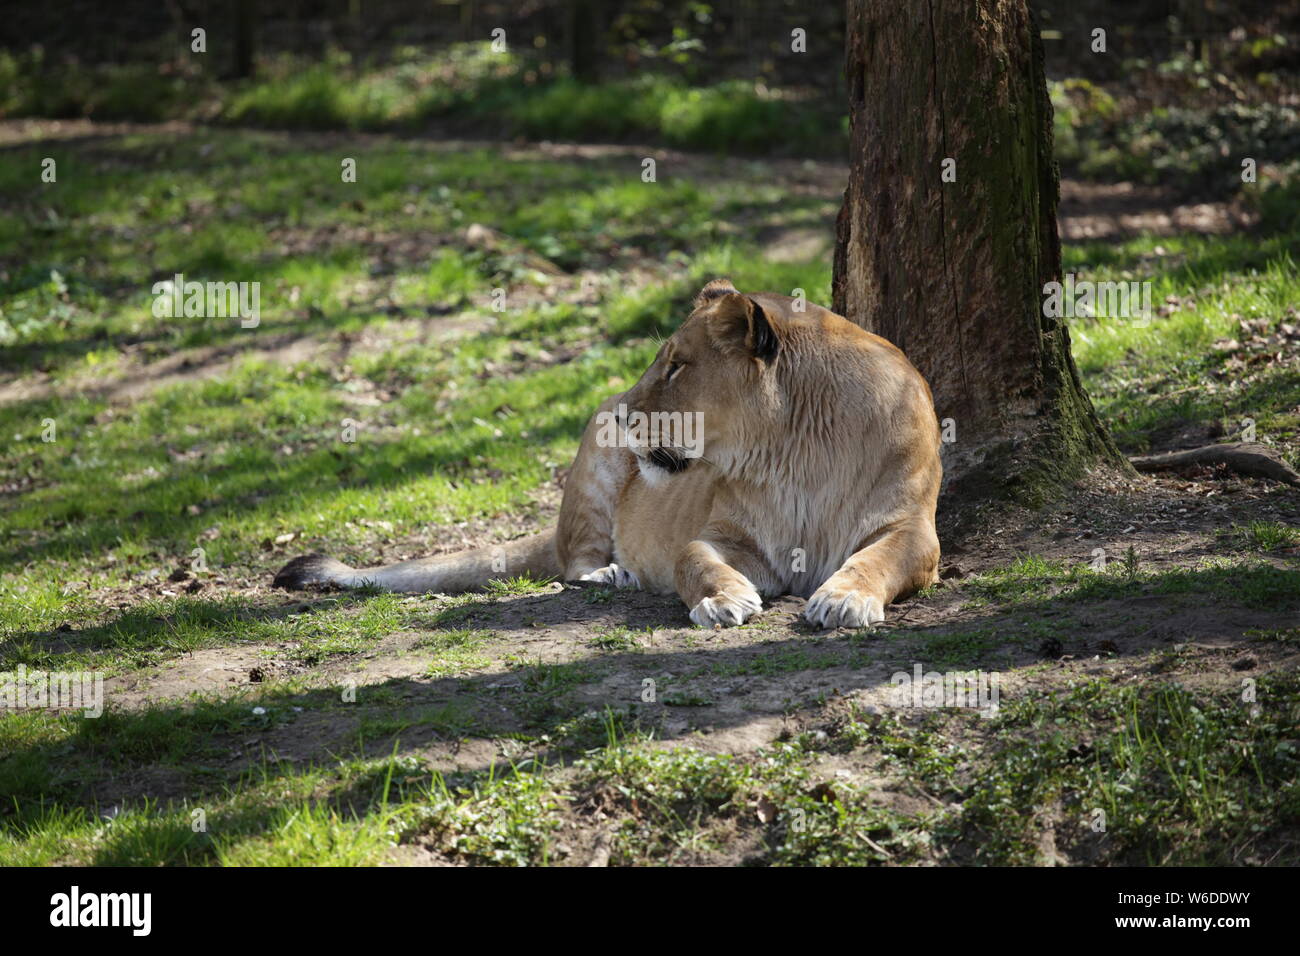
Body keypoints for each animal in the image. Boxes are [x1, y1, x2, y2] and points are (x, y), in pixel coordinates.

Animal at [274, 279, 942, 629]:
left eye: (676, 365)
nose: (624, 411)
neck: (790, 452)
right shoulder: (726, 535)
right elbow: (693, 559)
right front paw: (722, 600)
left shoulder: (914, 528)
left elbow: (878, 558)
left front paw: (844, 597)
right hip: (591, 461)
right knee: (571, 558)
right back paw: (608, 573)